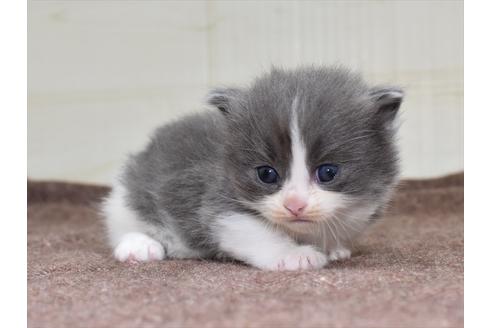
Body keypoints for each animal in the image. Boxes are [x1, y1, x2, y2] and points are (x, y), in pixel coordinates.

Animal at [101, 65, 404, 270]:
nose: (295, 205)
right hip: (130, 192)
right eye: (267, 174)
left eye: (328, 172)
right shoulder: (218, 202)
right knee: (123, 221)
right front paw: (295, 255)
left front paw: (334, 248)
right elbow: (254, 231)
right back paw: (139, 245)